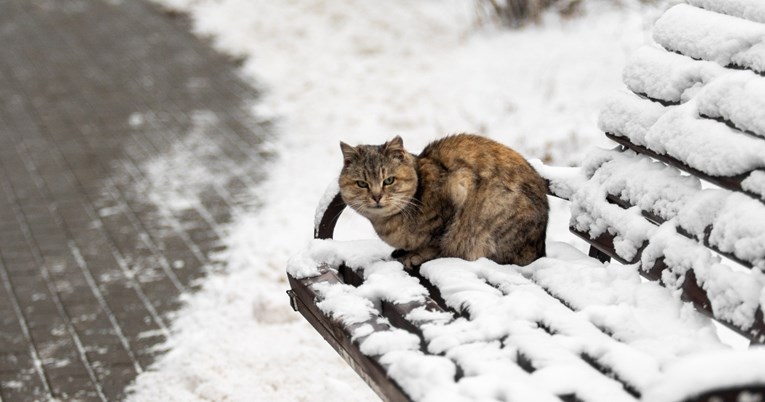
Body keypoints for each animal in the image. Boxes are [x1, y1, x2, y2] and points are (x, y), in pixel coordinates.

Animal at [338, 133, 548, 268]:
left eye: (389, 180)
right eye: (362, 184)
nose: (376, 196)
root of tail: (539, 248)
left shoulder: (458, 186)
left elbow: (436, 242)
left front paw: (415, 255)